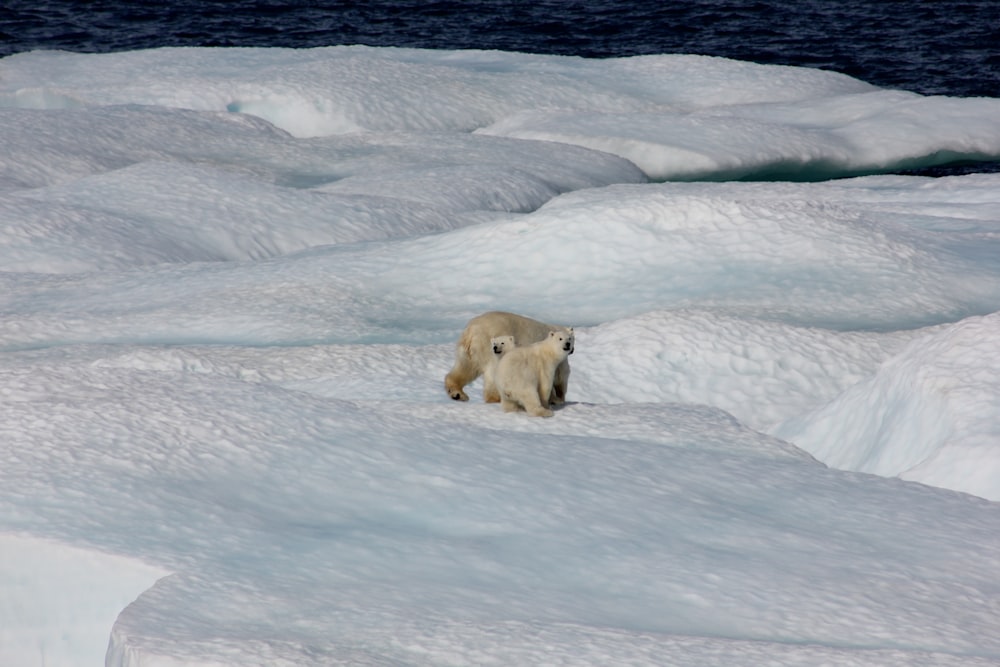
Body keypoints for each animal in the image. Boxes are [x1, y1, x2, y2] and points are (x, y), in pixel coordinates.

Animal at [444, 312, 572, 404]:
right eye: (571, 339)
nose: (571, 349)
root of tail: (472, 331)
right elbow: (560, 377)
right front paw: (558, 399)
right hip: (492, 347)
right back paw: (496, 398)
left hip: (470, 351)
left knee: (465, 368)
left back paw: (457, 394)